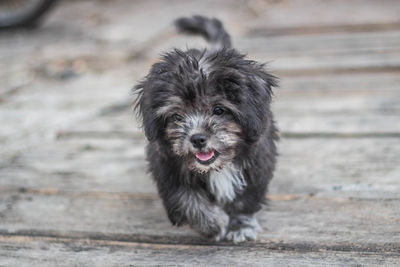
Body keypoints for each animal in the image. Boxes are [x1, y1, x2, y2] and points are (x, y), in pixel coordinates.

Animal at [134, 15, 278, 244]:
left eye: (218, 110)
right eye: (176, 116)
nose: (198, 139)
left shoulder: (257, 162)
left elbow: (244, 198)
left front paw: (241, 225)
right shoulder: (167, 166)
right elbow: (185, 198)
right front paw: (212, 224)